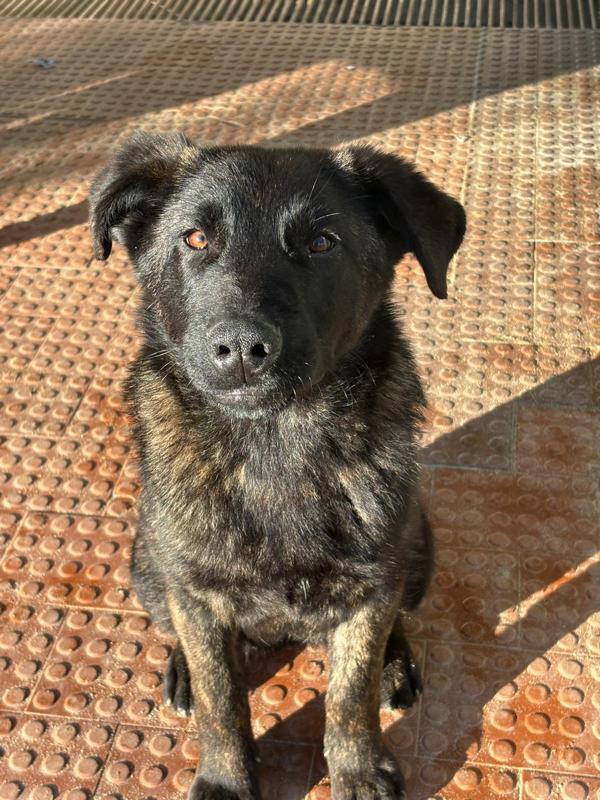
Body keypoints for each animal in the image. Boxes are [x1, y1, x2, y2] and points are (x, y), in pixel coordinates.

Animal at [90, 132, 465, 800]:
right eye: (195, 238)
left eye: (322, 242)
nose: (241, 348)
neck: (274, 449)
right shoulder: (195, 592)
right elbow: (221, 699)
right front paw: (225, 778)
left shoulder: (372, 587)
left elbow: (350, 693)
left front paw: (358, 770)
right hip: (148, 564)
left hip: (418, 548)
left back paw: (396, 665)